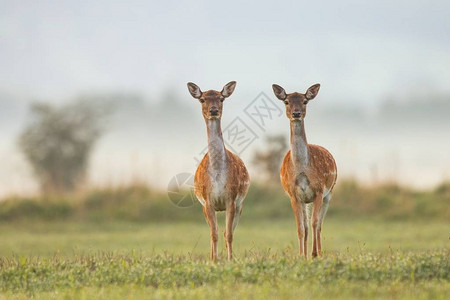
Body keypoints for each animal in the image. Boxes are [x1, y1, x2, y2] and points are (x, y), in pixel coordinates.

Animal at [186, 81, 250, 262]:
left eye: (222, 98)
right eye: (202, 99)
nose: (213, 110)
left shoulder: (231, 198)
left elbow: (228, 234)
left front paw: (229, 259)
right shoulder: (208, 201)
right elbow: (213, 234)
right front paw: (214, 260)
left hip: (240, 205)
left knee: (228, 231)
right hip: (204, 208)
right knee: (212, 233)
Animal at [270, 82, 338, 258]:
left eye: (305, 101)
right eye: (286, 101)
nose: (296, 113)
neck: (302, 168)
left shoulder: (319, 190)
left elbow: (315, 223)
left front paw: (314, 254)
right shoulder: (294, 195)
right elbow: (301, 228)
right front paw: (301, 255)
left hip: (329, 192)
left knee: (319, 224)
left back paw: (318, 252)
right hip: (306, 200)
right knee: (307, 226)